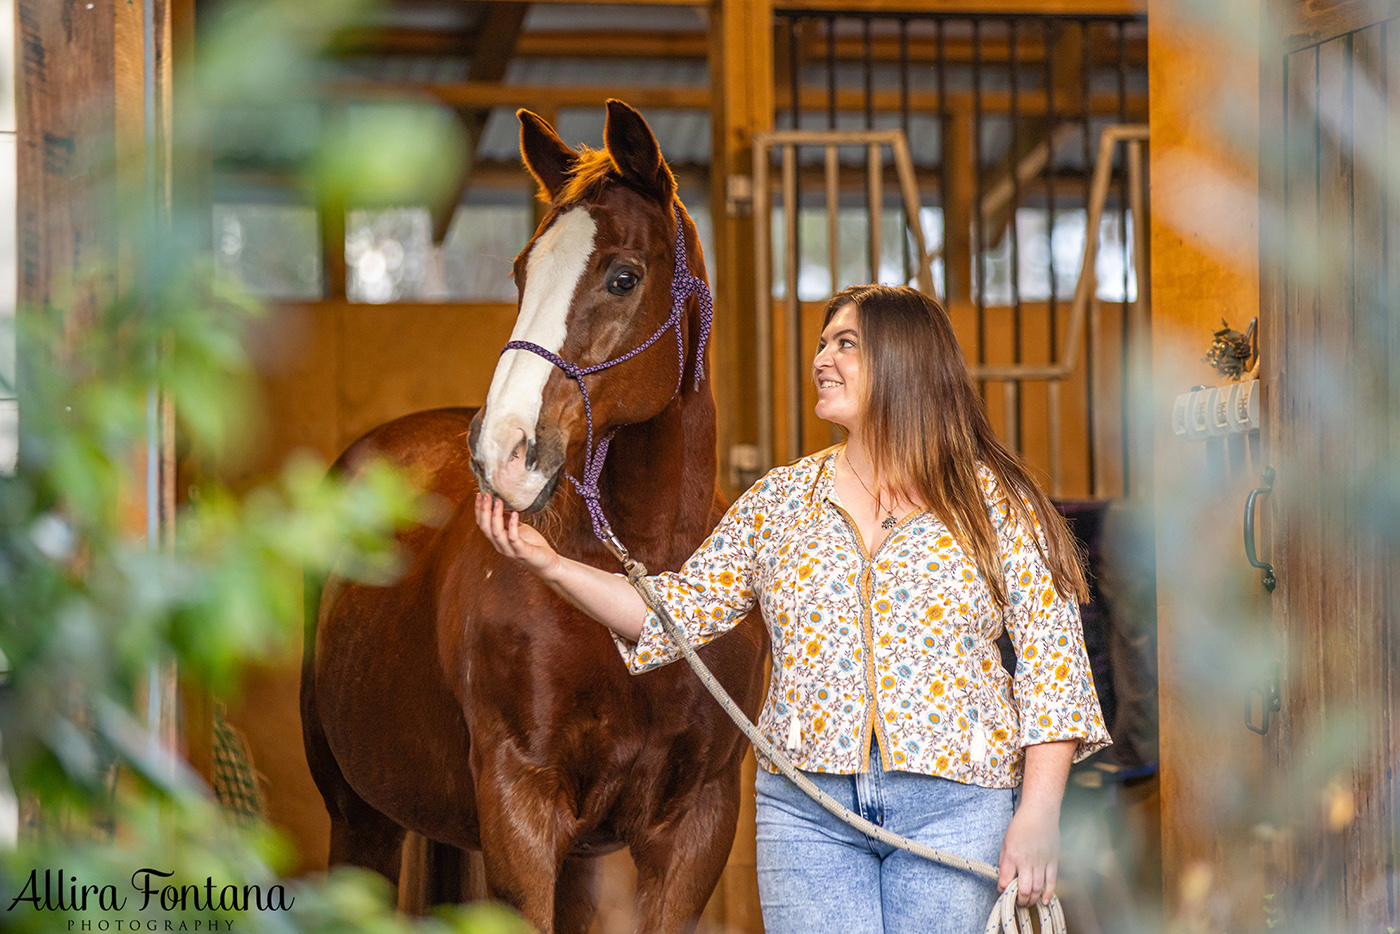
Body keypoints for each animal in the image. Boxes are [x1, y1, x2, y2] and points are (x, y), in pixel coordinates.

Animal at [301, 102, 772, 934]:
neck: (639, 575)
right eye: (523, 272)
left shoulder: (696, 825)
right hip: (361, 817)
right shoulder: (520, 811)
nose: (501, 449)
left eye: (623, 277)